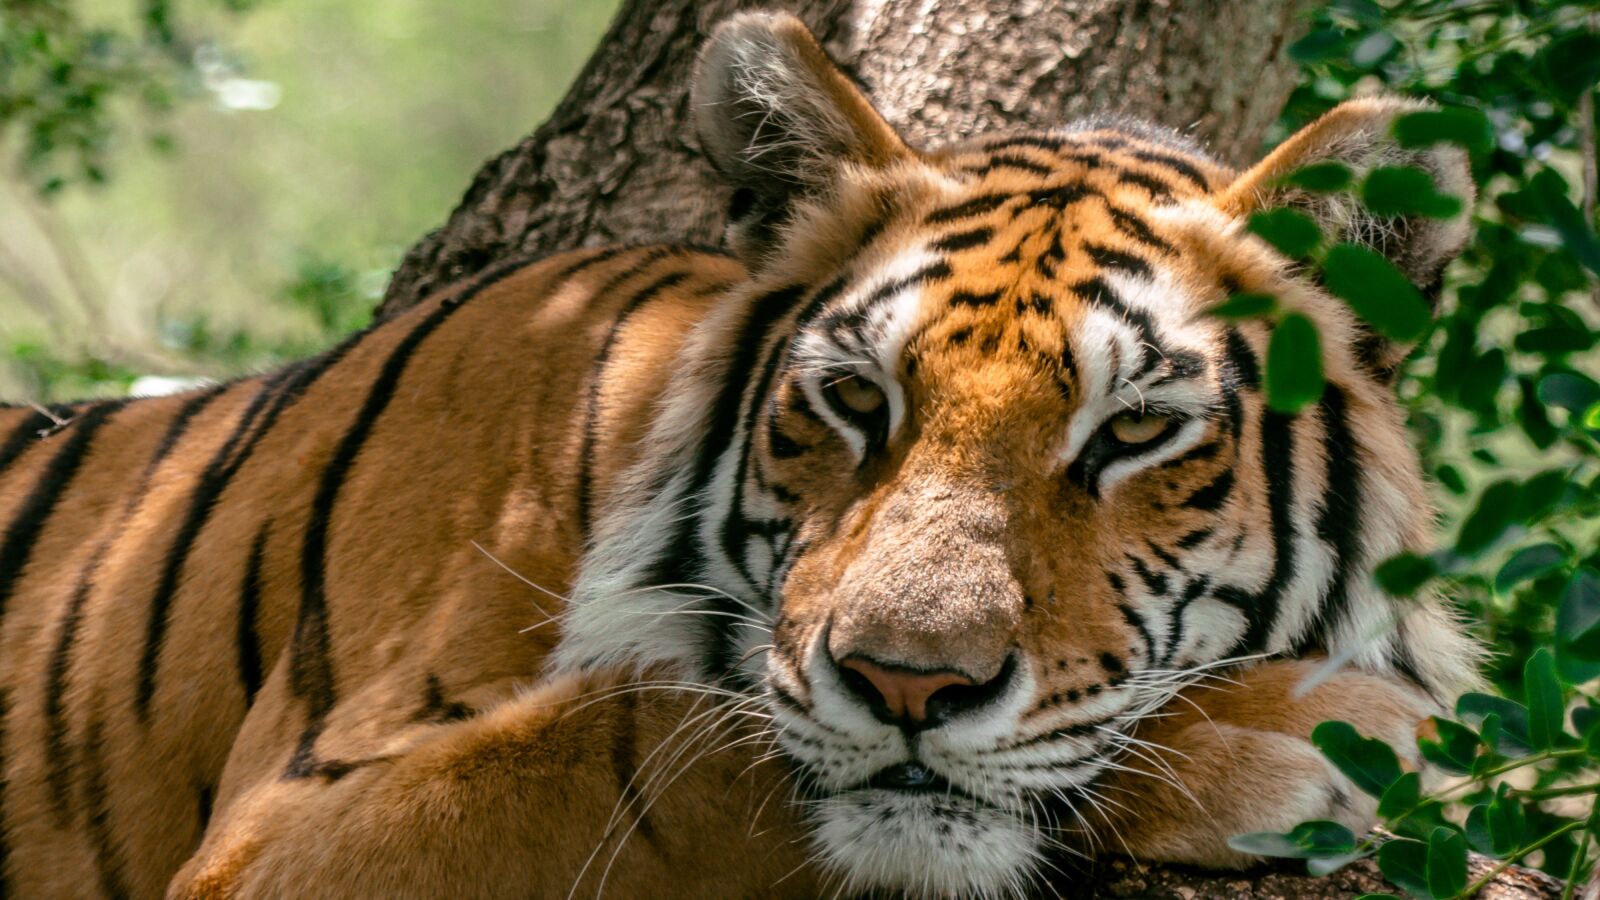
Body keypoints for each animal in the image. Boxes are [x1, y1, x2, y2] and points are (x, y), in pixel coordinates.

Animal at [0, 10, 1483, 899]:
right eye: (855, 399)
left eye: (1131, 431)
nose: (908, 685)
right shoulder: (290, 834)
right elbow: (674, 743)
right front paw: (1320, 732)